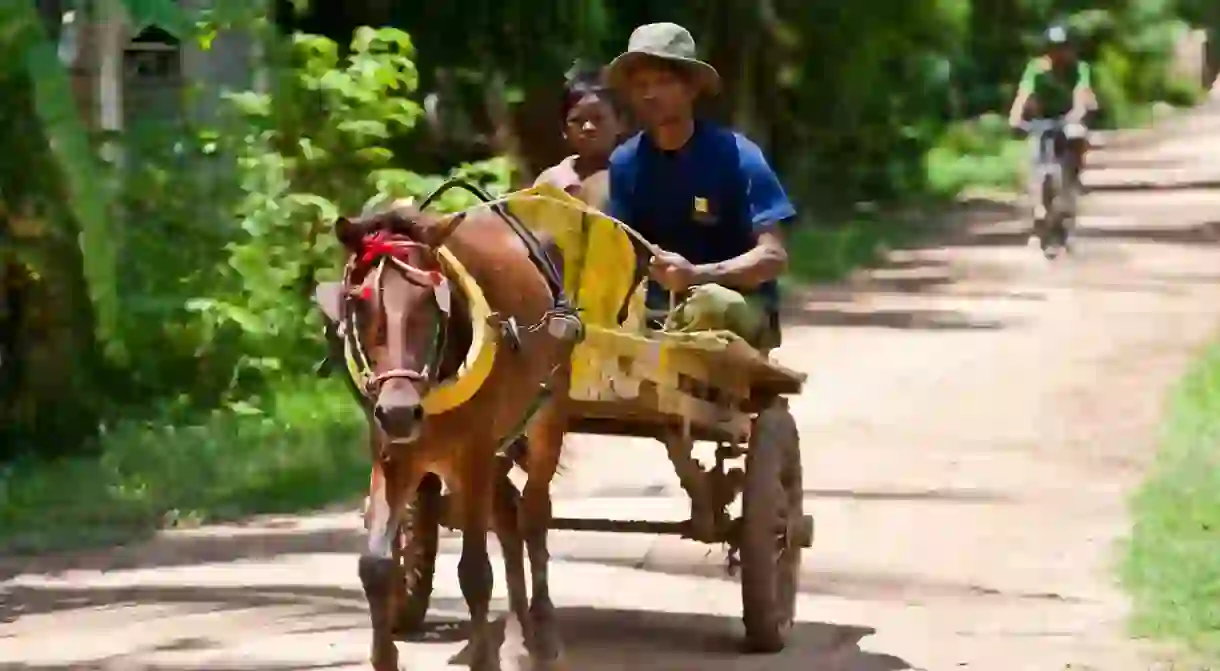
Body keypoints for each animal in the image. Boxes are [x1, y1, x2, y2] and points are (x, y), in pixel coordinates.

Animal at [314, 190, 580, 671]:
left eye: (431, 302)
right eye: (358, 302)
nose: (400, 411)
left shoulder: (473, 450)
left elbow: (474, 573)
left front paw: (485, 658)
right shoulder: (392, 453)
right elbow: (374, 566)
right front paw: (386, 657)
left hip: (547, 414)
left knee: (533, 515)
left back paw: (543, 634)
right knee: (508, 517)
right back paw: (518, 636)